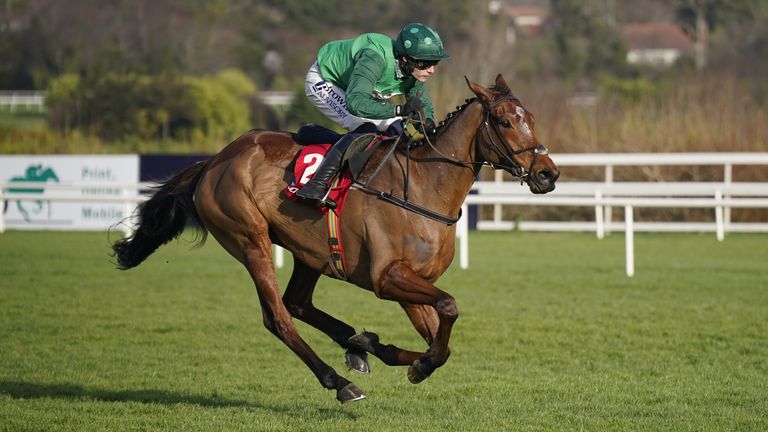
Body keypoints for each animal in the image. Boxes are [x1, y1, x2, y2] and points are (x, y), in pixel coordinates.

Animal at [112, 73, 560, 402]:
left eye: (533, 118)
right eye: (504, 121)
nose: (548, 173)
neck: (424, 186)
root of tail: (214, 161)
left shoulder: (412, 283)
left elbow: (441, 341)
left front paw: (408, 358)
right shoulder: (387, 278)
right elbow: (448, 308)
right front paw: (412, 362)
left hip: (308, 252)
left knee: (298, 303)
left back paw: (361, 345)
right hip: (249, 239)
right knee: (278, 317)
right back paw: (340, 382)